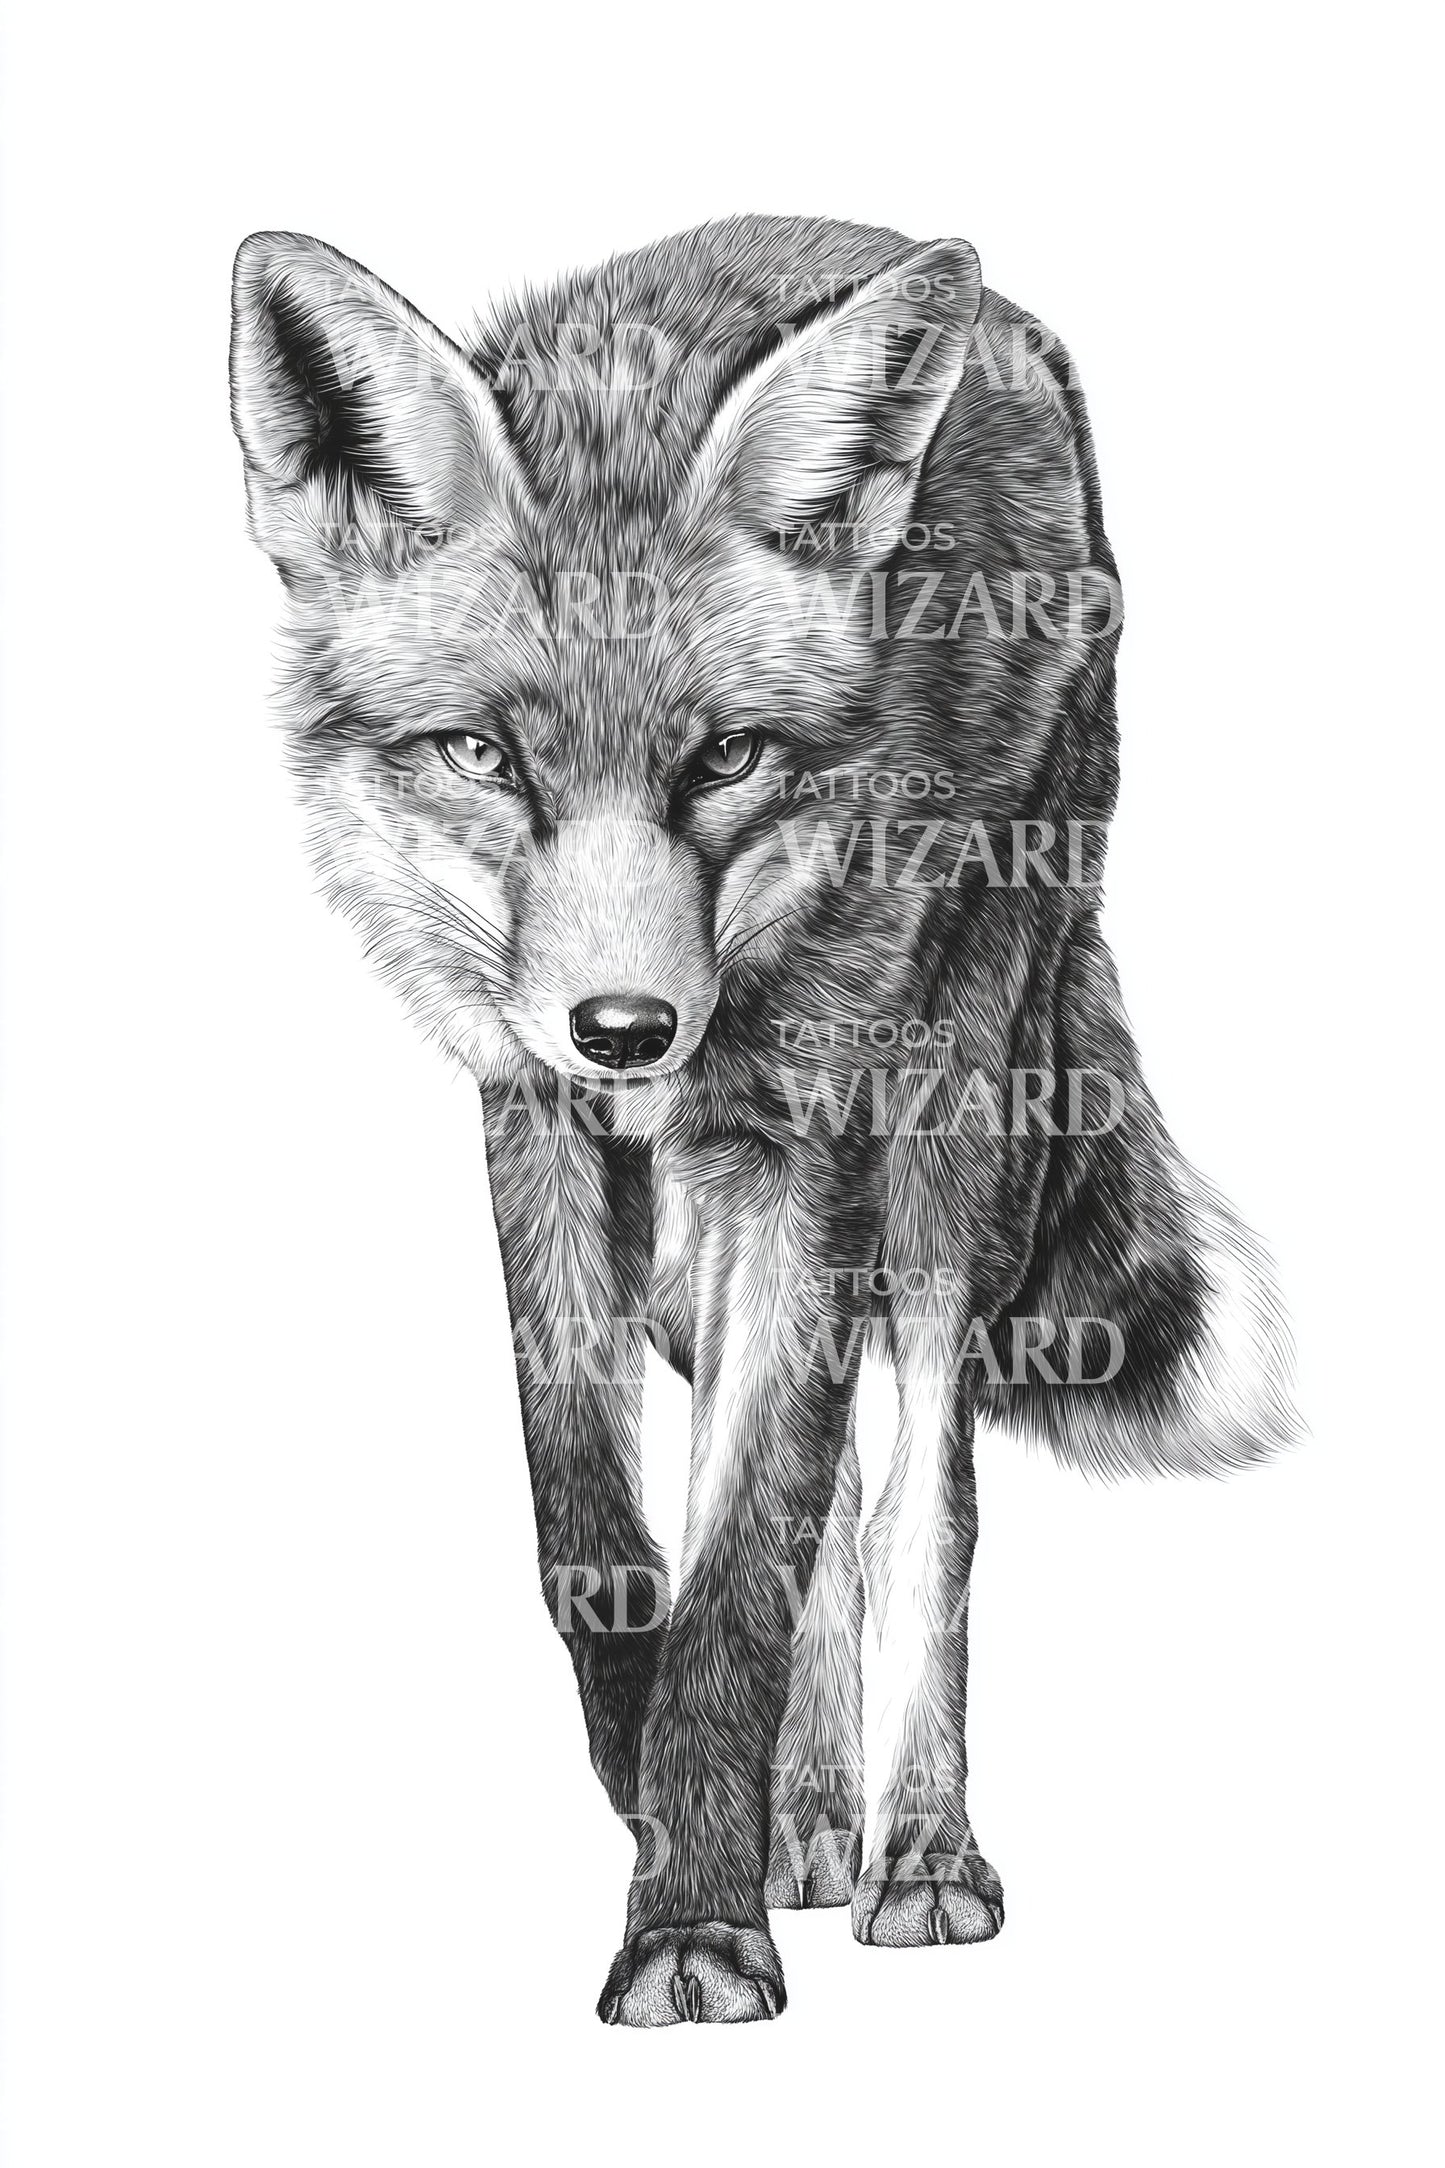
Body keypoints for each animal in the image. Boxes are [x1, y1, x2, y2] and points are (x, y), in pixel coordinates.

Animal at [229, 214, 1299, 2026]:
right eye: (480, 756)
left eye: (726, 756)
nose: (627, 1029)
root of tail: (998, 321)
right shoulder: (533, 1117)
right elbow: (600, 1534)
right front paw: (664, 1792)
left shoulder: (807, 1145)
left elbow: (749, 1568)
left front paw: (690, 1926)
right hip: (686, 1252)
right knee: (829, 1489)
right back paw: (803, 1821)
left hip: (947, 1134)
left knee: (920, 1498)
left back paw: (916, 1850)